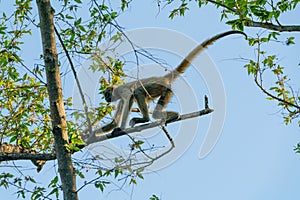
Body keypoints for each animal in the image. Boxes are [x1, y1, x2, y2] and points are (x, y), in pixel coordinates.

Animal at [98, 30, 246, 136]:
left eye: (106, 94)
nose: (106, 98)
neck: (117, 89)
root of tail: (162, 77)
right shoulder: (120, 98)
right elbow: (114, 121)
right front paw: (92, 135)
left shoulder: (122, 91)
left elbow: (130, 97)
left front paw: (120, 129)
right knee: (156, 111)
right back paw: (173, 116)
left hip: (160, 87)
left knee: (139, 92)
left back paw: (146, 119)